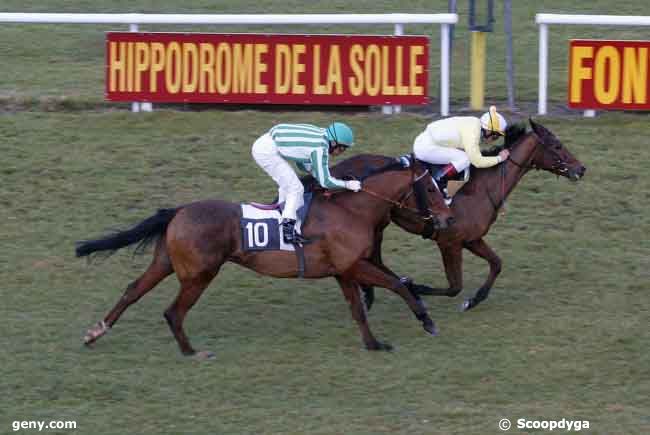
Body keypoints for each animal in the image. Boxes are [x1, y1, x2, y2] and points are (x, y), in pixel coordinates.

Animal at [76, 154, 450, 358]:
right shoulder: (354, 265)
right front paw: (427, 321)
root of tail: (178, 210)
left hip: (166, 263)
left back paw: (96, 333)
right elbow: (397, 285)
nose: (446, 218)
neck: (351, 208)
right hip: (199, 274)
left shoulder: (344, 270)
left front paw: (374, 344)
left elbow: (359, 308)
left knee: (133, 290)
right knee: (173, 312)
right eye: (432, 188)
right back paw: (192, 352)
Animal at [326, 117, 584, 312]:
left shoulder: (471, 239)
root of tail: (337, 169)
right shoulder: (449, 242)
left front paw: (474, 300)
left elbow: (496, 264)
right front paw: (416, 288)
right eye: (557, 145)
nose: (581, 169)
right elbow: (454, 287)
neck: (482, 188)